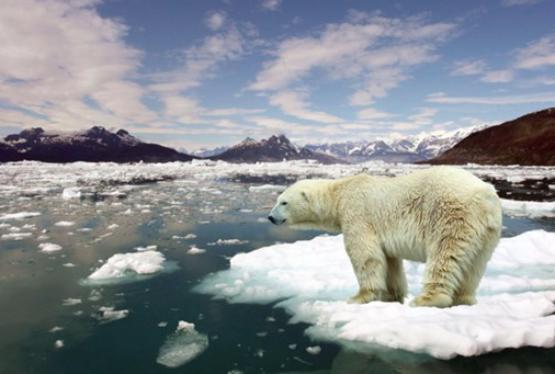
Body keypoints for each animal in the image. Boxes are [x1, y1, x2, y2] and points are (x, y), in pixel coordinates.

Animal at [270, 167, 504, 306]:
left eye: (283, 202)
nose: (270, 217)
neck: (340, 193)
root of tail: (486, 196)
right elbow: (390, 261)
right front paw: (392, 295)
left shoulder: (357, 214)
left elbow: (365, 255)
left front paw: (359, 297)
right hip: (487, 233)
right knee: (475, 265)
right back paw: (464, 299)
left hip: (451, 215)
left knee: (445, 255)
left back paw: (427, 299)